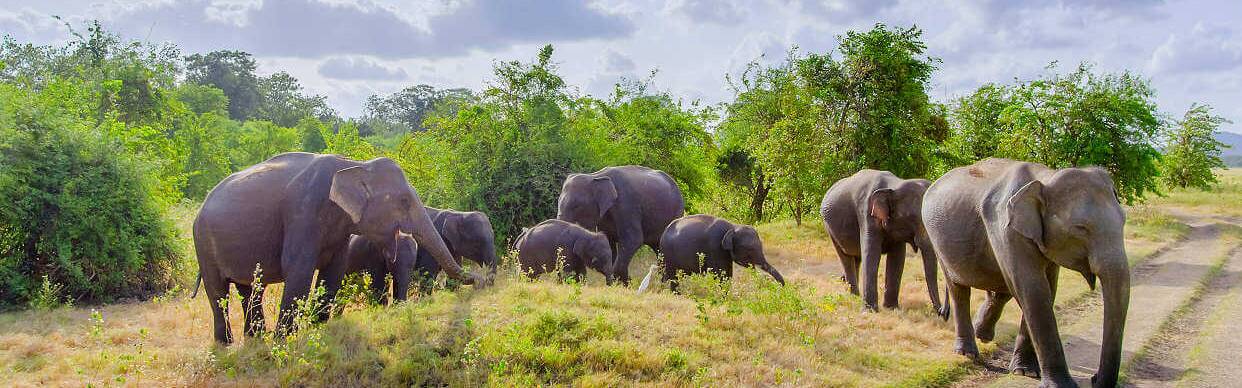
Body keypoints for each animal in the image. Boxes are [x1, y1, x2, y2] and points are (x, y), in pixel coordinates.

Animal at [192, 152, 484, 343]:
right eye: (403, 201)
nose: (482, 281)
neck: (353, 165)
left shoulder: (341, 227)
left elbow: (333, 272)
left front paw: (319, 330)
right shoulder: (302, 212)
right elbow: (298, 270)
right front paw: (284, 341)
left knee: (251, 290)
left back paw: (255, 339)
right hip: (202, 242)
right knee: (217, 292)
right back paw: (227, 344)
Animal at [556, 164, 685, 284]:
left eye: (576, 206)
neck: (595, 176)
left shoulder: (627, 205)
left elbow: (633, 240)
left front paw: (626, 283)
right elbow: (609, 243)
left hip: (676, 211)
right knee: (658, 249)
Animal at [819, 169, 943, 315]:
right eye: (911, 217)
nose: (940, 312)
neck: (894, 185)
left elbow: (897, 258)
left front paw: (891, 308)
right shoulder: (867, 214)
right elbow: (871, 253)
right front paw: (870, 311)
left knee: (856, 258)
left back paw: (851, 291)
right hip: (830, 229)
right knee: (846, 258)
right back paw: (853, 295)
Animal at [919, 158, 1132, 388]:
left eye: (1124, 220)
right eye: (1081, 228)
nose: (1094, 378)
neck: (1046, 178)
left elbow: (1047, 288)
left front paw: (1025, 372)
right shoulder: (1006, 229)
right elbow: (1034, 290)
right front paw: (1059, 384)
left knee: (1002, 288)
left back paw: (982, 334)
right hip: (936, 238)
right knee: (959, 290)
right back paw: (967, 353)